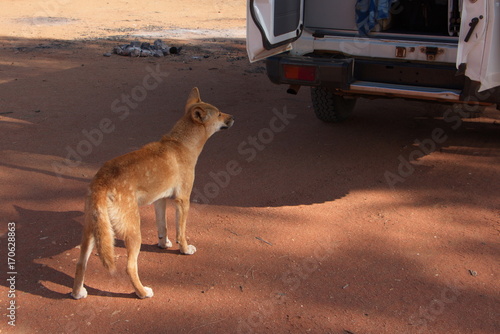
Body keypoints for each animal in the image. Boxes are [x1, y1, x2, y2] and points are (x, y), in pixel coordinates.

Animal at [71, 87, 234, 298]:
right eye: (219, 113)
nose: (233, 117)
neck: (181, 143)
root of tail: (101, 183)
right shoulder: (183, 200)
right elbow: (181, 231)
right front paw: (184, 249)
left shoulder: (160, 200)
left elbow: (162, 227)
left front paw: (163, 244)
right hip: (133, 232)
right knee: (129, 267)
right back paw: (142, 292)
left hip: (94, 231)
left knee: (80, 263)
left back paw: (77, 292)